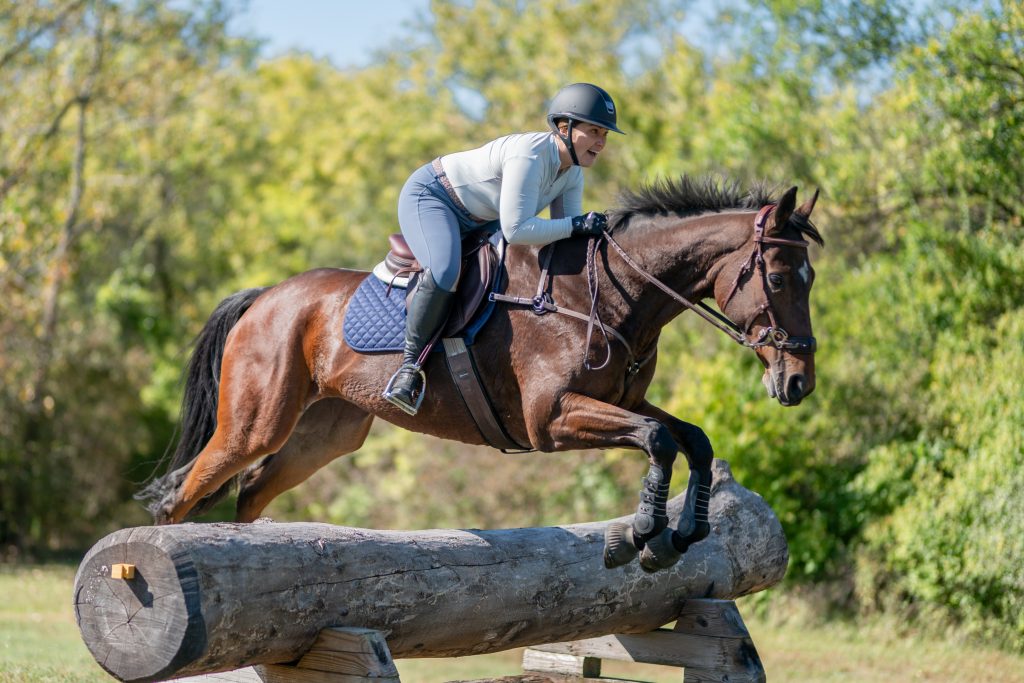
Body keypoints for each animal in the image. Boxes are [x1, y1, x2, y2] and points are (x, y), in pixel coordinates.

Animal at [138, 176, 823, 573]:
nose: (798, 383)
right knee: (182, 494)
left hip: (327, 433)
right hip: (256, 422)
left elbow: (692, 440)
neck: (608, 293)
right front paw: (641, 537)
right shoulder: (551, 419)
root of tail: (266, 297)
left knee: (251, 491)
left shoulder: (624, 401)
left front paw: (680, 535)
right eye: (780, 277)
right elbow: (658, 441)